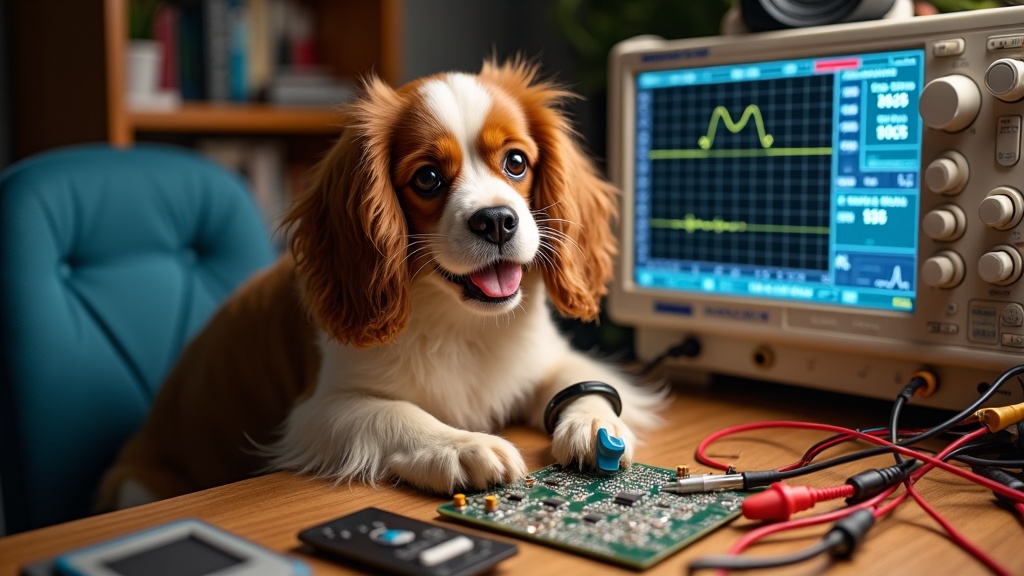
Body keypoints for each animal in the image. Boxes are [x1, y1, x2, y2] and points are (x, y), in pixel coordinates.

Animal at [97, 57, 663, 506]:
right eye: (428, 178)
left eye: (517, 162)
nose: (498, 220)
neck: (459, 322)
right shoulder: (320, 411)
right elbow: (396, 414)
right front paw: (462, 445)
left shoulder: (545, 360)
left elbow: (583, 381)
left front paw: (594, 426)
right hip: (134, 484)